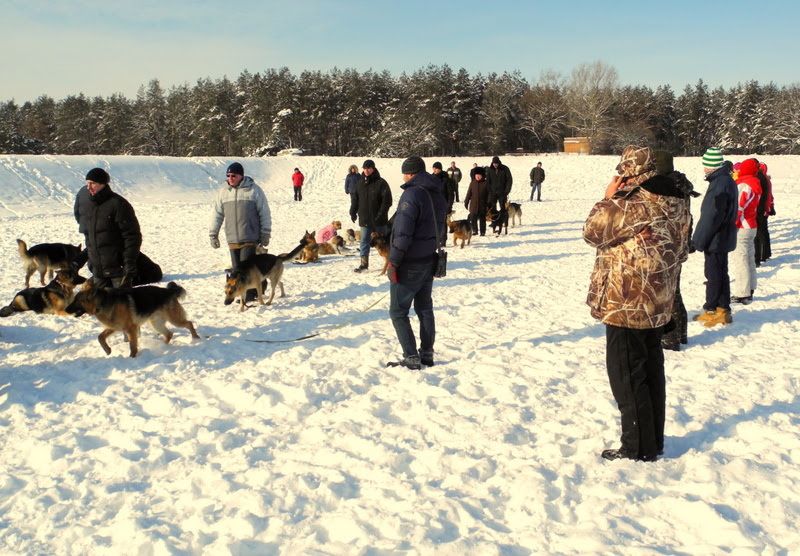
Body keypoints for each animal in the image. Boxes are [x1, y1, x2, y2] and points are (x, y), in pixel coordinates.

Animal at [65, 280, 200, 358]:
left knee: (189, 323)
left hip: (174, 320)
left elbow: (132, 346)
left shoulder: (131, 329)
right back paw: (163, 347)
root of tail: (169, 291)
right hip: (156, 323)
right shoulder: (115, 327)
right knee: (169, 334)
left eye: (77, 300)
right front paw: (108, 350)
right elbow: (100, 337)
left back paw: (196, 338)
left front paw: (132, 357)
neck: (102, 303)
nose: (65, 310)